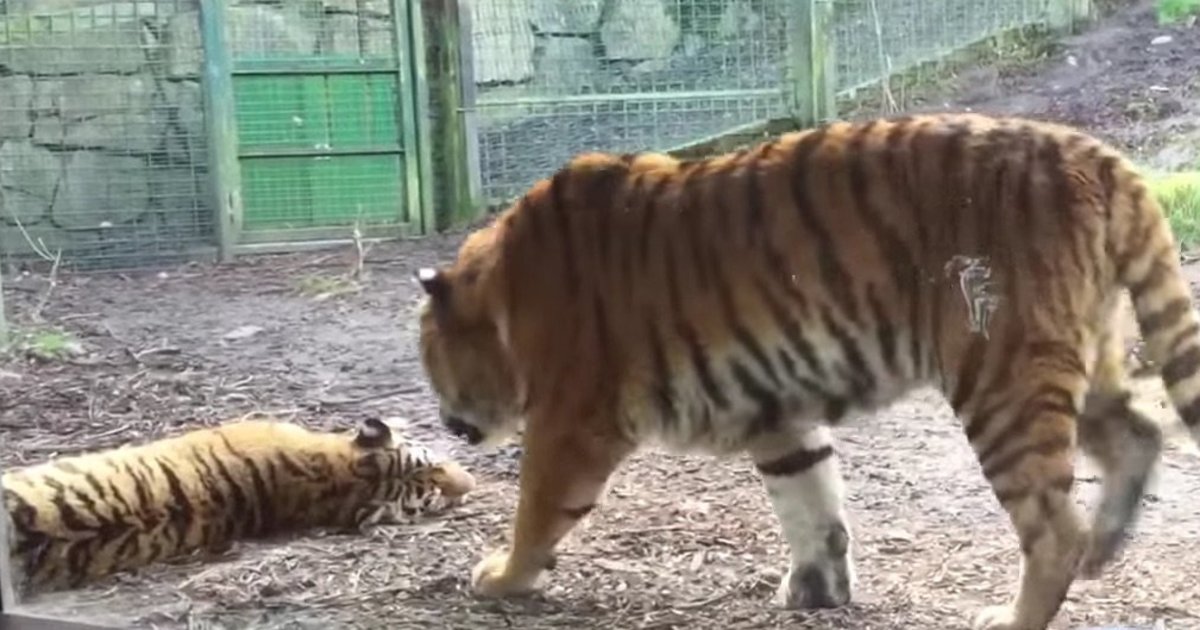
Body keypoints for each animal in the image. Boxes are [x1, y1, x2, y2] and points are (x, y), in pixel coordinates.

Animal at [412, 111, 1200, 630]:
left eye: (430, 362)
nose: (449, 423)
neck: (505, 292)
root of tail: (1095, 153)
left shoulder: (571, 422)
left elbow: (536, 509)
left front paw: (500, 576)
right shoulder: (777, 409)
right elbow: (810, 501)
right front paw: (817, 590)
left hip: (1002, 375)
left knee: (1053, 526)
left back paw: (1015, 613)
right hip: (1077, 359)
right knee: (1139, 433)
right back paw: (1105, 548)